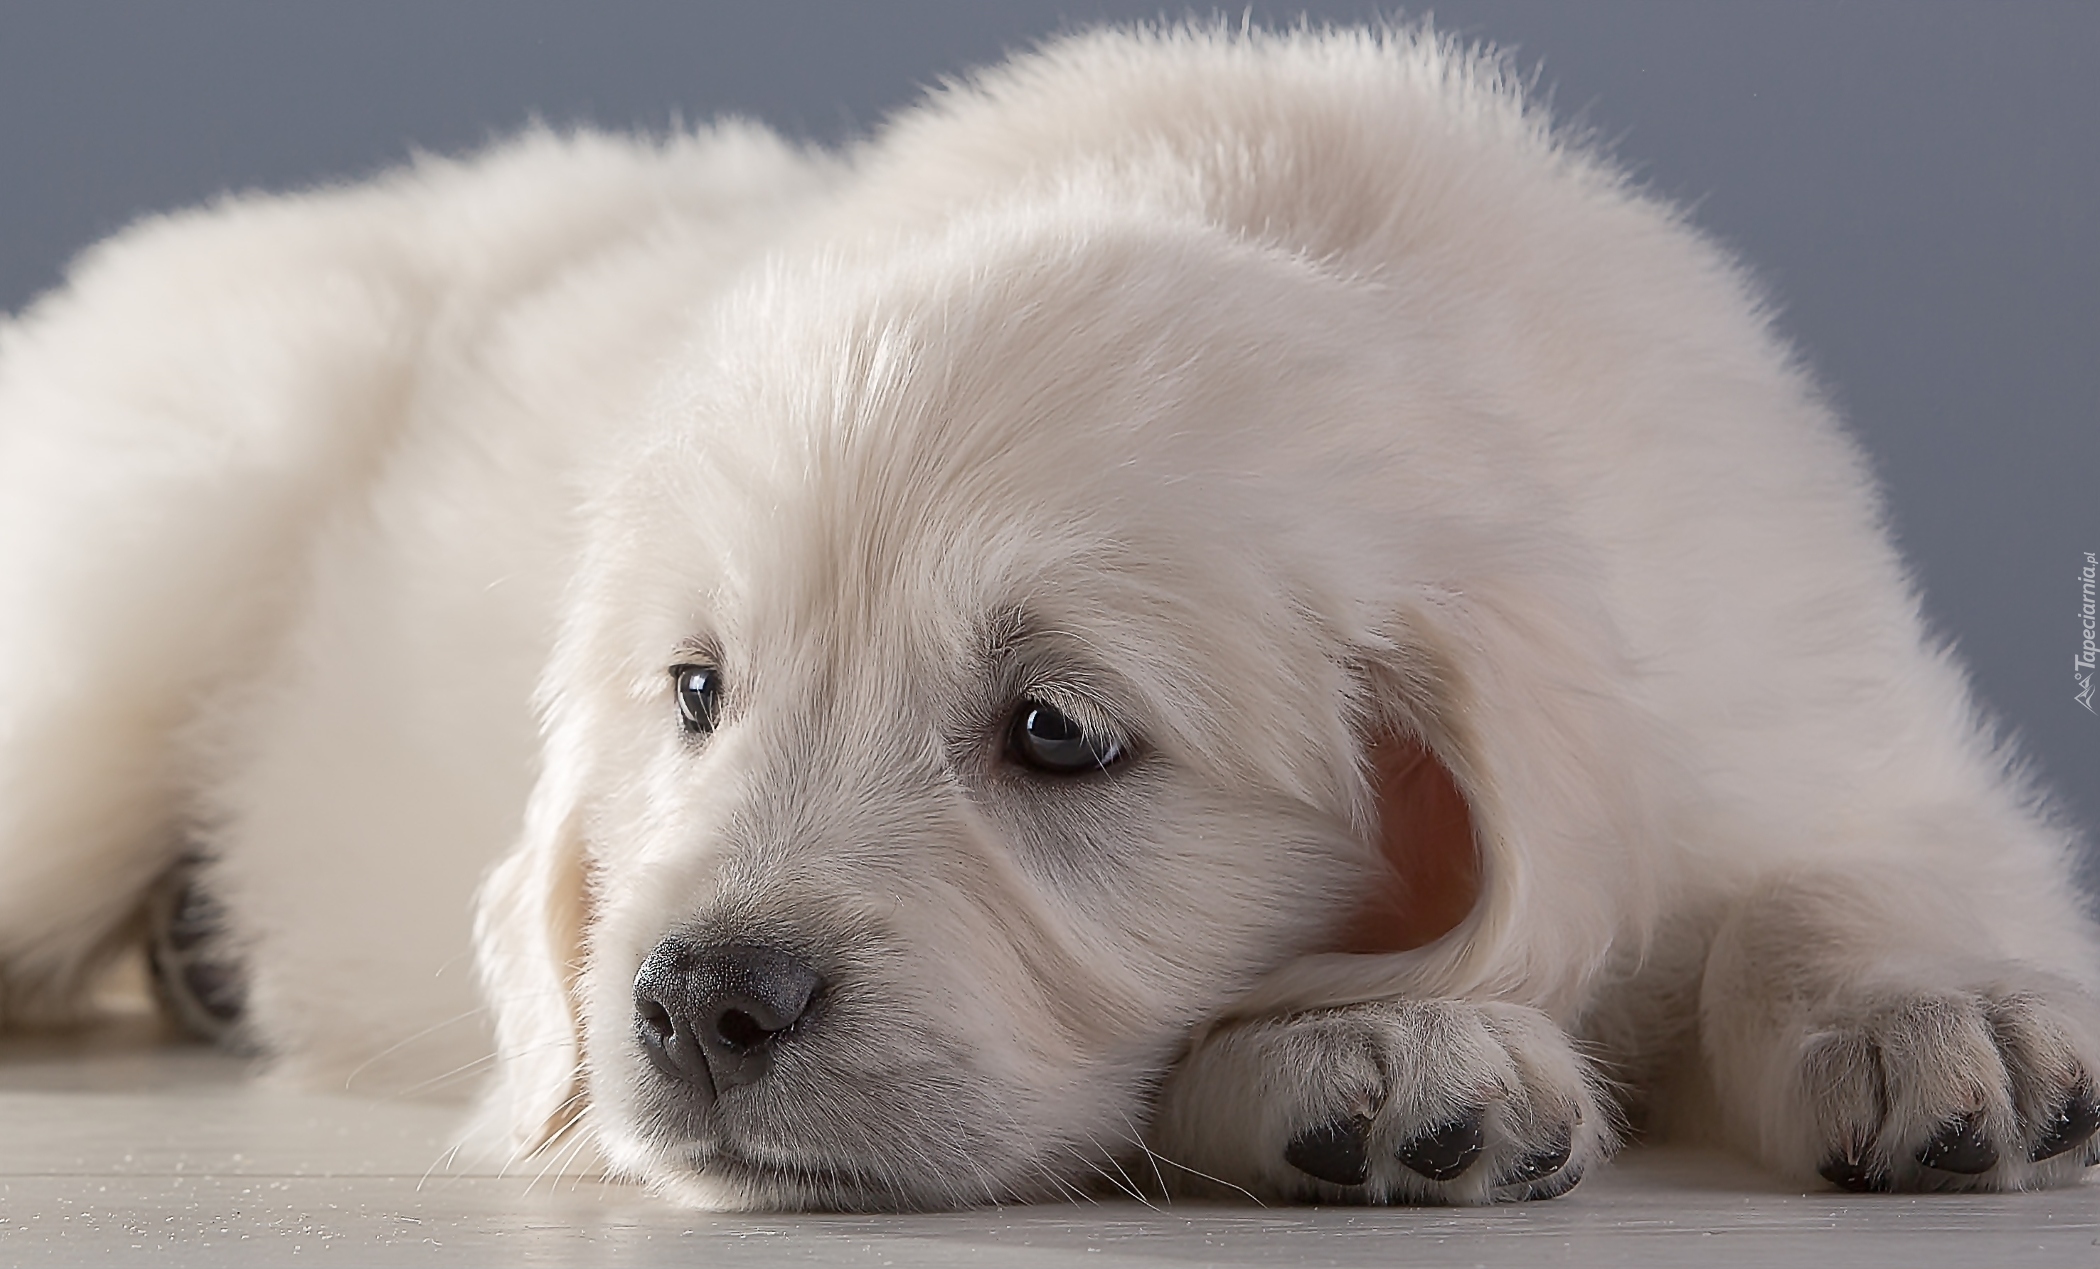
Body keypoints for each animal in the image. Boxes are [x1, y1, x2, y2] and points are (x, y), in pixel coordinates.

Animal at [4, 22, 2100, 1210]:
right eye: (696, 688)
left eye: (1057, 732)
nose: (690, 998)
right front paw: (1390, 1045)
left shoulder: (1798, 688)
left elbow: (1847, 859)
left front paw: (1940, 1000)